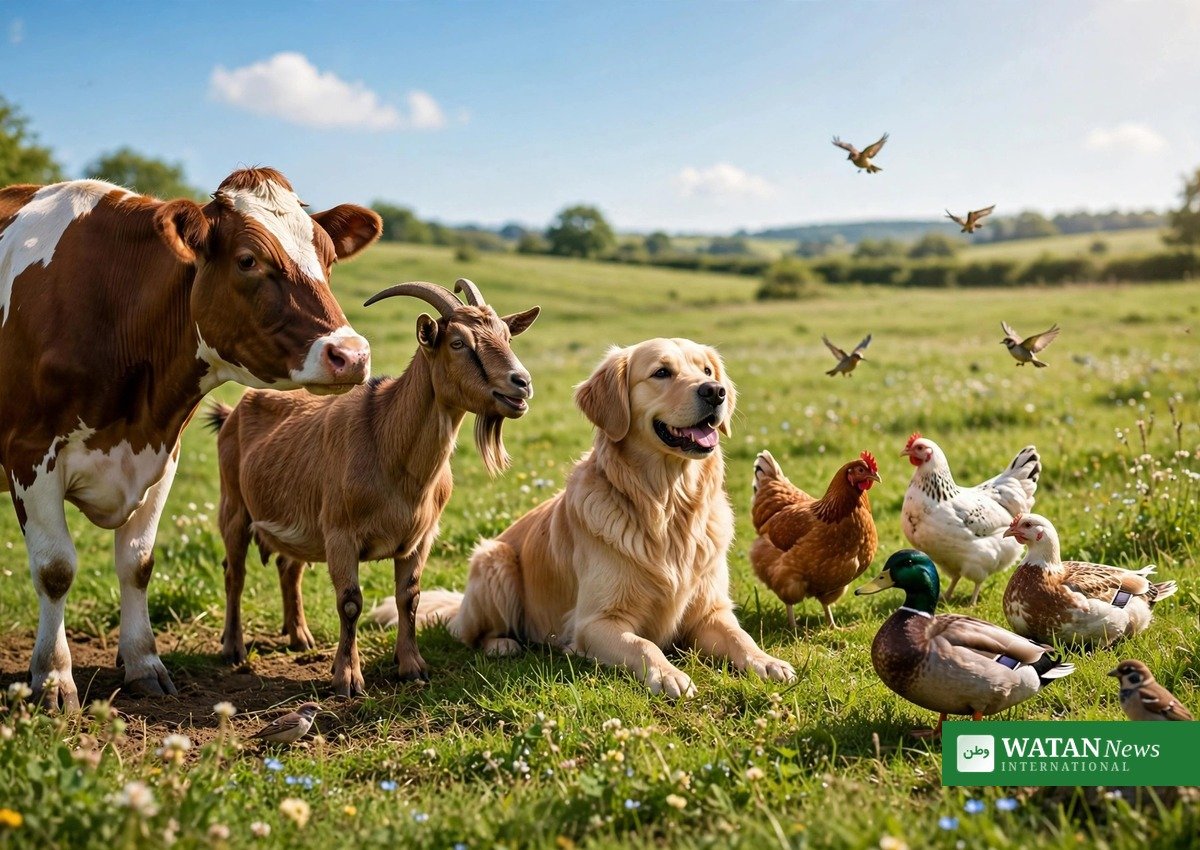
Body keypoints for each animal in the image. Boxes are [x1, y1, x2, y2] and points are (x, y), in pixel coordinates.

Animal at [206, 279, 539, 696]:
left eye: (506, 335)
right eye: (458, 342)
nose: (521, 383)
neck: (388, 443)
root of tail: (232, 412)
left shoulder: (419, 539)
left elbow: (409, 598)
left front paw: (412, 666)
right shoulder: (340, 534)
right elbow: (350, 603)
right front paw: (347, 678)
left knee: (288, 567)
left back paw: (300, 637)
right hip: (233, 505)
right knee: (234, 573)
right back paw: (233, 649)